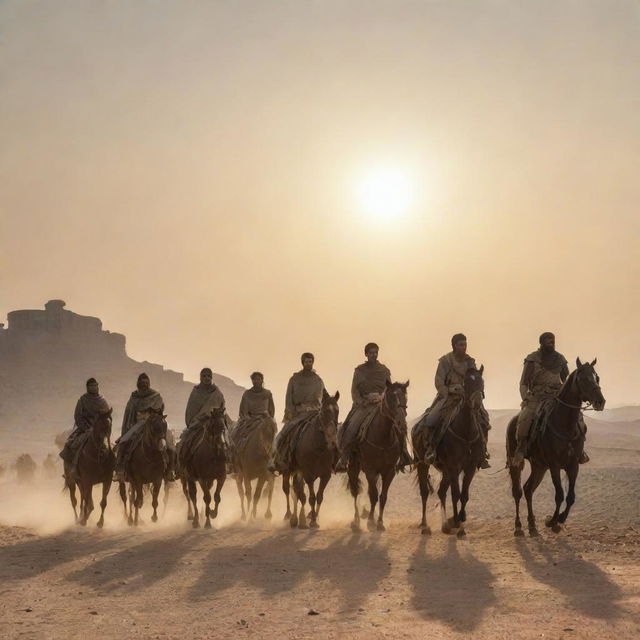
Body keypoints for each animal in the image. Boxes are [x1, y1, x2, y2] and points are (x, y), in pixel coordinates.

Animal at [284, 390, 340, 528]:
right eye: (323, 411)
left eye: (337, 411)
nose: (332, 439)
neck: (318, 448)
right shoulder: (308, 474)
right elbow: (310, 498)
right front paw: (311, 521)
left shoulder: (325, 475)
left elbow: (319, 496)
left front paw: (314, 518)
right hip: (291, 471)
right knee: (293, 490)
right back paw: (293, 518)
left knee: (298, 491)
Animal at [348, 382, 408, 532]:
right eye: (390, 398)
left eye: (405, 397)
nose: (401, 423)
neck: (383, 438)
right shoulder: (370, 469)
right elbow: (374, 495)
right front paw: (370, 522)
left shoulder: (389, 471)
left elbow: (382, 497)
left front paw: (379, 522)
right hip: (353, 467)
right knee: (355, 490)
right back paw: (356, 521)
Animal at [412, 364, 488, 536]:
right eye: (466, 383)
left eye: (482, 382)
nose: (477, 403)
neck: (465, 432)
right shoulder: (454, 466)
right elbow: (455, 494)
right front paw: (458, 525)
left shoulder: (469, 467)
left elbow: (464, 495)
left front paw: (460, 521)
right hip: (422, 464)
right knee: (425, 492)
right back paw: (425, 525)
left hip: (445, 470)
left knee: (441, 491)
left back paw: (445, 525)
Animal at [504, 358, 604, 536]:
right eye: (583, 379)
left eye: (596, 377)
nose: (600, 401)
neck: (564, 424)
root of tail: (512, 422)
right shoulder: (554, 466)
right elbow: (559, 495)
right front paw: (551, 521)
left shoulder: (573, 465)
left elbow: (570, 497)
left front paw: (560, 520)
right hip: (517, 463)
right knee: (518, 492)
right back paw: (519, 527)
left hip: (539, 466)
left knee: (528, 489)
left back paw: (532, 525)